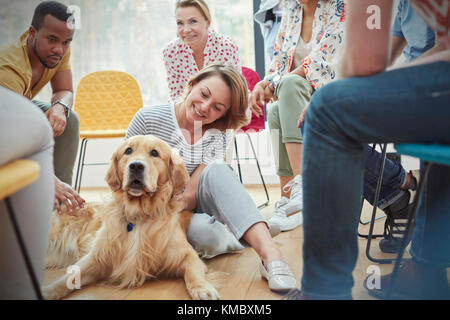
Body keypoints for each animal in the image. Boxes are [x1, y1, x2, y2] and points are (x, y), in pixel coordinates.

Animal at [42, 134, 220, 298]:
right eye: (128, 150)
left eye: (154, 153)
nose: (135, 166)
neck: (139, 214)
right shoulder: (96, 257)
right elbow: (68, 278)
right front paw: (47, 291)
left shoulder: (188, 255)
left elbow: (193, 272)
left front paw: (203, 288)